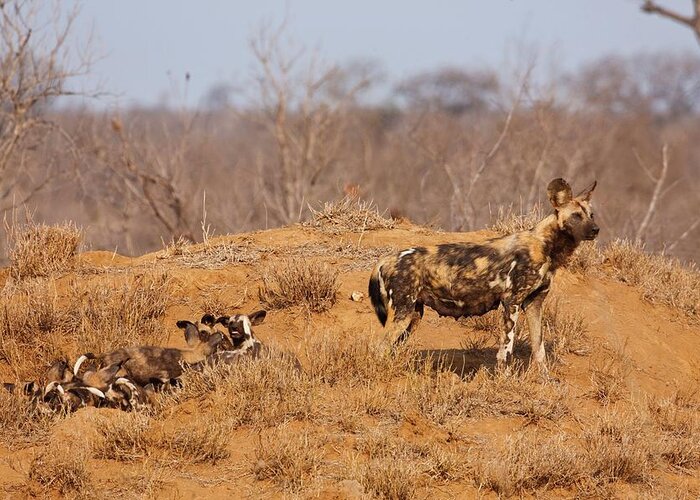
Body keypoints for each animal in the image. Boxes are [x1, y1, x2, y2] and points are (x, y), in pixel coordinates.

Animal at [370, 178, 600, 370]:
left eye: (591, 215)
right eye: (576, 216)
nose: (596, 229)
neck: (547, 246)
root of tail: (386, 258)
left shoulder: (534, 304)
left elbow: (539, 348)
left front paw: (545, 380)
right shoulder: (511, 301)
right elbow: (506, 350)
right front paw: (504, 379)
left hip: (413, 316)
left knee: (390, 347)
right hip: (402, 314)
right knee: (379, 347)